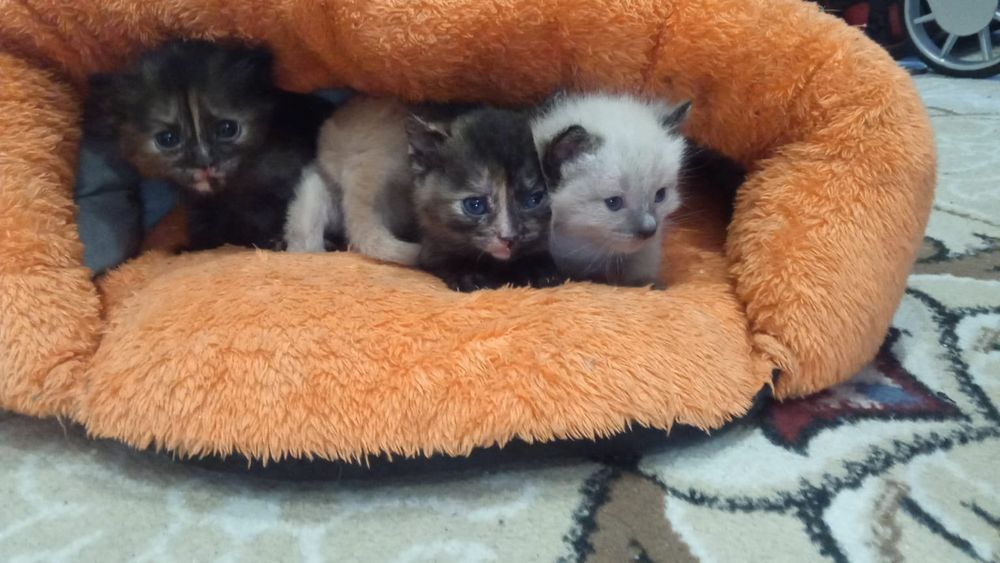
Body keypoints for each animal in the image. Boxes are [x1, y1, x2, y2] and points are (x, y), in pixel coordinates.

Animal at [531, 93, 690, 287]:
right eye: (613, 203)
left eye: (660, 195)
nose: (649, 230)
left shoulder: (645, 249)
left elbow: (640, 265)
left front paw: (649, 284)